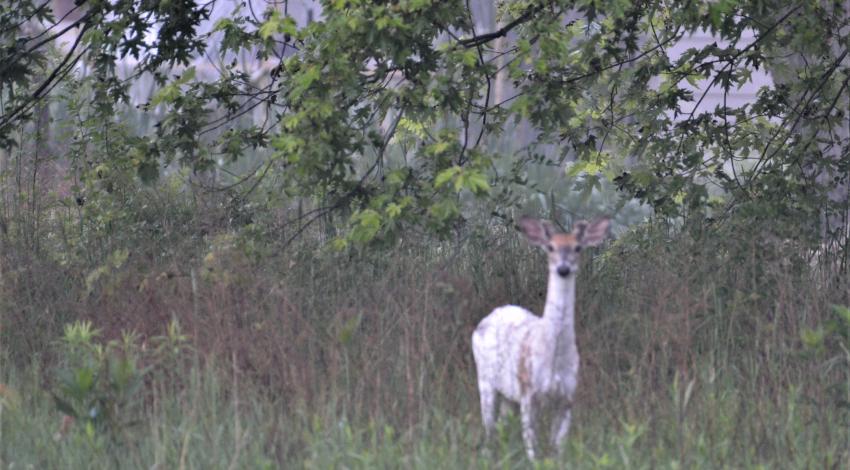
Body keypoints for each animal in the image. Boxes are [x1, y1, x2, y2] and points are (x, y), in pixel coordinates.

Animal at [474, 217, 608, 458]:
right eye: (550, 247)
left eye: (577, 247)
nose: (563, 268)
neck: (554, 359)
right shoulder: (529, 393)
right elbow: (532, 449)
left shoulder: (567, 396)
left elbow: (558, 449)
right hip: (485, 380)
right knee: (489, 429)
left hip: (509, 395)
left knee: (502, 426)